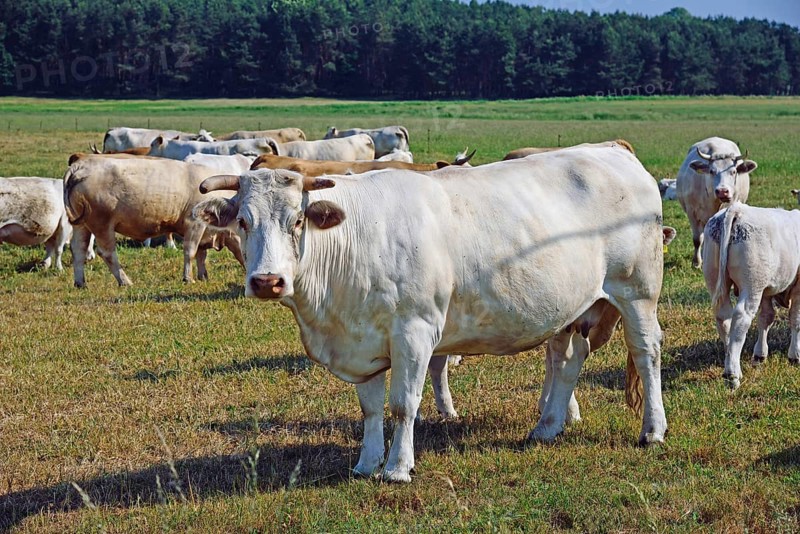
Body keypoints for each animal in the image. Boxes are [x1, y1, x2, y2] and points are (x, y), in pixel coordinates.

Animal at [64, 154, 244, 287]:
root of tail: (80, 165)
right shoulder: (195, 224)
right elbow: (191, 251)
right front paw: (188, 278)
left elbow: (201, 254)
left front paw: (203, 276)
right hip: (102, 224)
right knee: (107, 253)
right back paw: (125, 281)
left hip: (82, 225)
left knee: (78, 250)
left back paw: (80, 283)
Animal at [193, 144, 668, 482]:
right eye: (243, 222)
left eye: (297, 221)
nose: (267, 281)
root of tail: (614, 152)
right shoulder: (361, 342)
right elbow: (370, 408)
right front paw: (366, 463)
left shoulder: (414, 331)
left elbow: (403, 404)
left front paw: (397, 468)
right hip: (572, 305)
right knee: (568, 359)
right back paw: (547, 427)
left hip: (636, 291)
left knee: (646, 354)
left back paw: (653, 430)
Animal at [676, 137, 757, 268]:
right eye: (711, 171)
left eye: (733, 171)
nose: (723, 192)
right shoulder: (692, 213)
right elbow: (697, 239)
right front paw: (696, 262)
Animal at [702, 202, 800, 389]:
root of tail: (737, 209)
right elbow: (795, 320)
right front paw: (795, 355)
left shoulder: (766, 291)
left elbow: (766, 318)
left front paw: (760, 354)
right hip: (751, 286)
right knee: (741, 317)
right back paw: (732, 375)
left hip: (717, 279)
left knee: (723, 317)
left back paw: (731, 361)